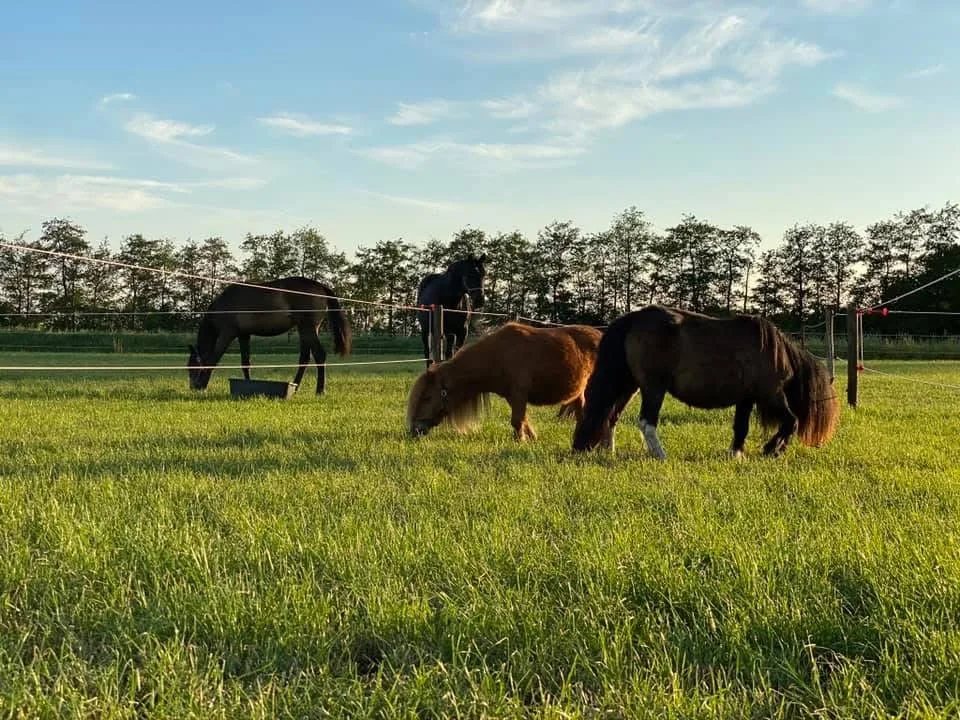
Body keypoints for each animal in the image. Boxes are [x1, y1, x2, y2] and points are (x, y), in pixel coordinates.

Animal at [187, 276, 352, 395]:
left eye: (192, 367)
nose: (193, 387)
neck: (225, 305)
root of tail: (320, 287)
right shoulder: (244, 335)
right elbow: (245, 363)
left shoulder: (227, 334)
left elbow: (213, 359)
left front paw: (203, 385)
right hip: (305, 329)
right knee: (305, 358)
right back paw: (296, 386)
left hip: (307, 328)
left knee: (319, 355)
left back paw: (320, 390)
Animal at [406, 321, 602, 440]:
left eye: (427, 397)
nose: (414, 430)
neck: (497, 356)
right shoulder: (512, 397)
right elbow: (522, 420)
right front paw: (531, 438)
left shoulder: (519, 393)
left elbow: (517, 421)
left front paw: (521, 441)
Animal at [571, 306, 839, 459]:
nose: (819, 442)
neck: (774, 352)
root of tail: (634, 318)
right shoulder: (771, 394)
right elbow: (791, 421)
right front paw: (772, 448)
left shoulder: (746, 399)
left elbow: (741, 427)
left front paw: (736, 453)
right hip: (653, 388)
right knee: (646, 422)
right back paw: (660, 455)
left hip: (629, 385)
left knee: (610, 415)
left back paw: (609, 451)